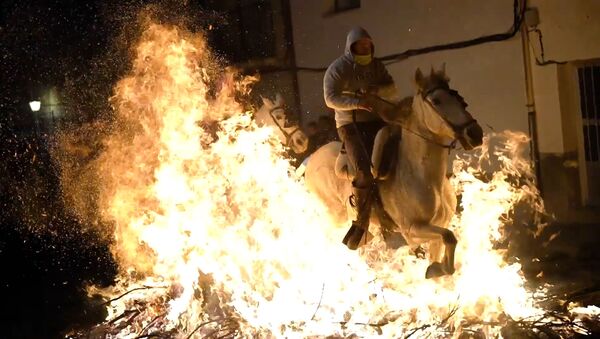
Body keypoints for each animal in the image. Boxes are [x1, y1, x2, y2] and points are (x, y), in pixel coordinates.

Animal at [304, 67, 482, 280]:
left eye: (458, 97)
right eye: (437, 101)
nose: (475, 133)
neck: (425, 179)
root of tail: (311, 159)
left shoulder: (440, 227)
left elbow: (447, 242)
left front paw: (437, 269)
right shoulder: (412, 230)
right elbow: (448, 236)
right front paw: (437, 269)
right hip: (335, 217)